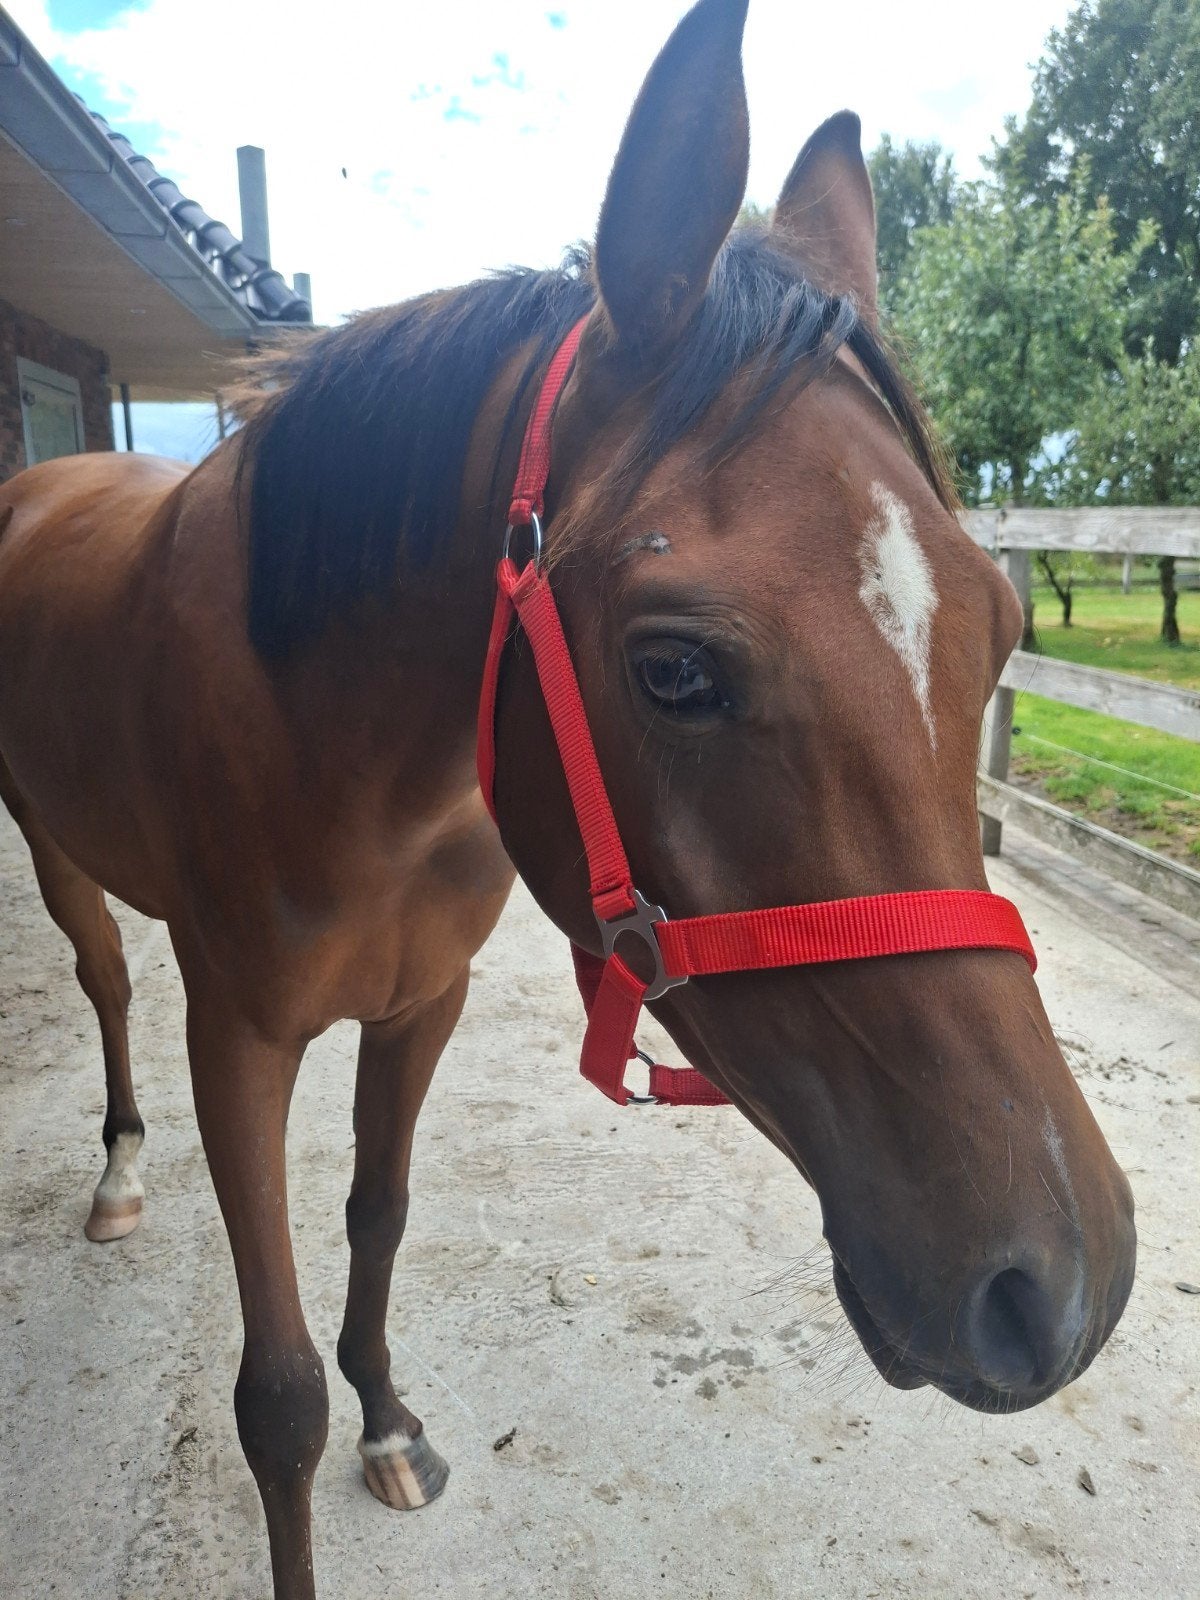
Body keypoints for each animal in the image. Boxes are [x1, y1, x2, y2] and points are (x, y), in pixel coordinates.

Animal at [0, 1, 1135, 1594]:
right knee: (102, 979)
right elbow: (275, 1399)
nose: (1060, 1291)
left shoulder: (422, 1006)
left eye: (1002, 624)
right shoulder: (234, 1037)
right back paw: (114, 1171)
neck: (345, 754)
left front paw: (392, 1419)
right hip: (52, 846)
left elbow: (379, 1214)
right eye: (673, 668)